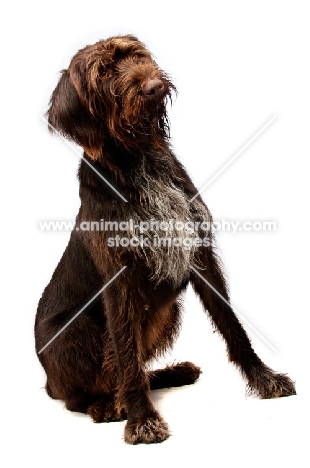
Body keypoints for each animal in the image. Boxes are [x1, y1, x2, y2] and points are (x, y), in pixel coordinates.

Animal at [35, 34, 296, 444]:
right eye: (103, 73)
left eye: (134, 54)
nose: (153, 85)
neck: (139, 158)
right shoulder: (120, 280)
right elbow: (126, 355)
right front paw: (141, 418)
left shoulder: (200, 254)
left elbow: (233, 327)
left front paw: (263, 377)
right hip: (74, 331)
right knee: (83, 394)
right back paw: (108, 405)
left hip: (165, 312)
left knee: (139, 368)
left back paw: (171, 374)